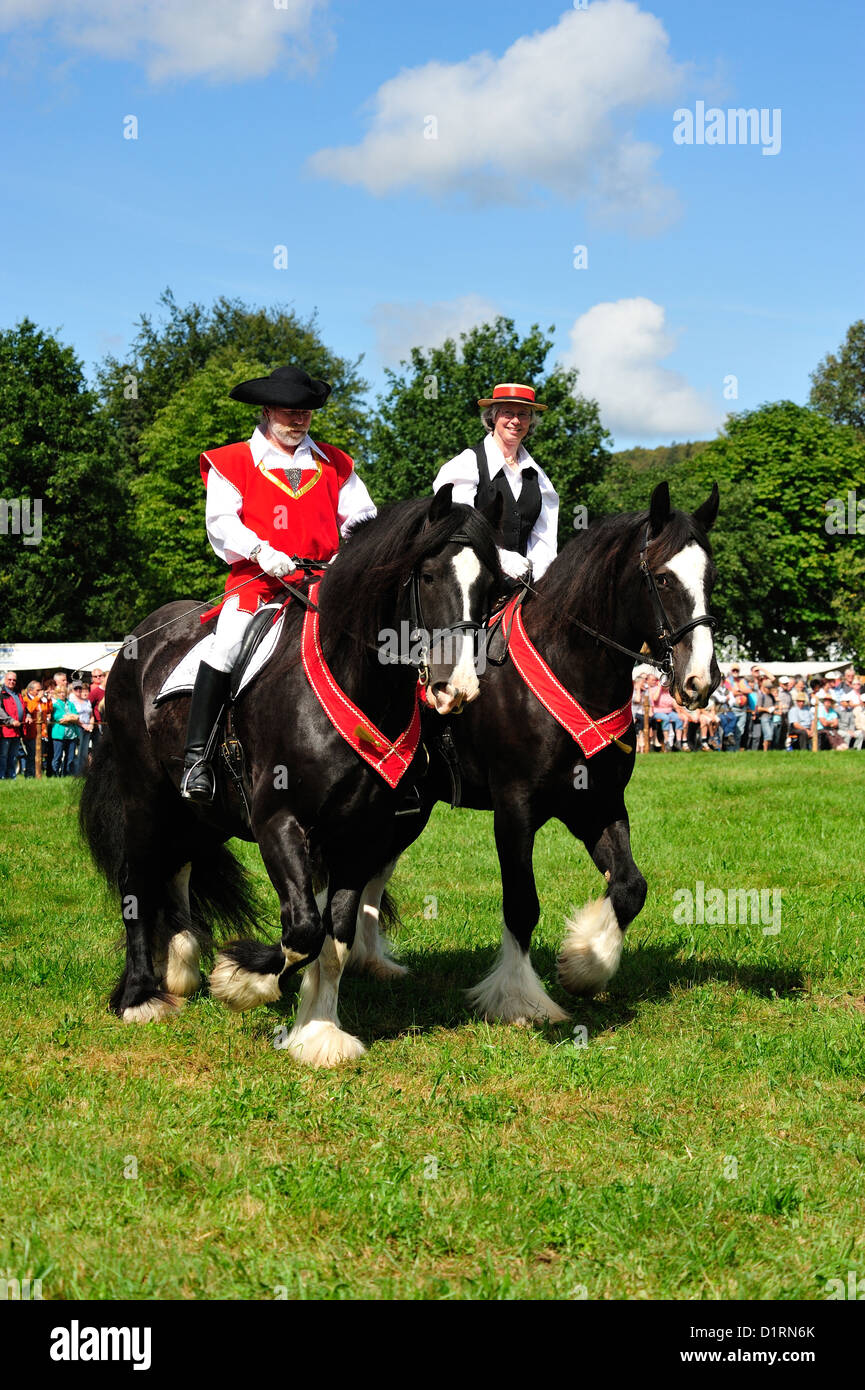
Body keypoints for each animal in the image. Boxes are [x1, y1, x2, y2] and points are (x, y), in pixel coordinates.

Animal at [82, 489, 506, 1061]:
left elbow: (335, 937)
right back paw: (139, 997)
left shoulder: (361, 836)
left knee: (180, 867)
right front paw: (242, 982)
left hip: (201, 811)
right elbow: (304, 928)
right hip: (145, 797)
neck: (350, 679)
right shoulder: (279, 823)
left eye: (491, 584)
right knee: (137, 879)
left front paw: (319, 1033)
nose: (455, 686)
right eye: (429, 574)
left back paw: (182, 965)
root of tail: (139, 641)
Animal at [354, 483, 723, 1028]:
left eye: (710, 578)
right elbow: (522, 904)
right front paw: (520, 998)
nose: (701, 680)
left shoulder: (598, 804)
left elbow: (630, 886)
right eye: (661, 577)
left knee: (375, 872)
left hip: (411, 807)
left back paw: (371, 962)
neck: (569, 667)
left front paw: (584, 965)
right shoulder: (515, 808)